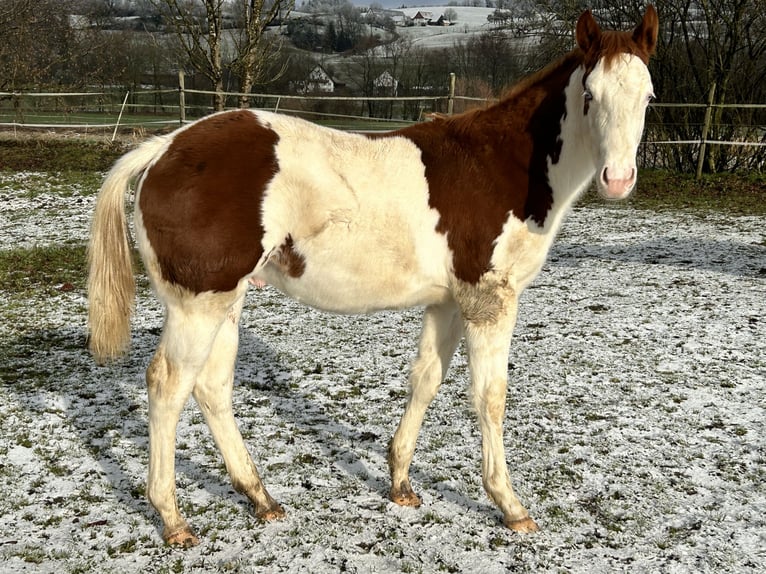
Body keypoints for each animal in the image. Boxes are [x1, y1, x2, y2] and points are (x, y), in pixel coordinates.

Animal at [85, 6, 660, 548]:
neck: (501, 166)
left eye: (649, 96)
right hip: (198, 306)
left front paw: (400, 482)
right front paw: (510, 506)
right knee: (168, 386)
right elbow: (490, 397)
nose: (618, 179)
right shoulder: (489, 301)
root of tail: (162, 148)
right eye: (589, 94)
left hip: (226, 302)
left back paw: (260, 497)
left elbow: (426, 379)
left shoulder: (448, 302)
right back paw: (172, 518)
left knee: (211, 387)